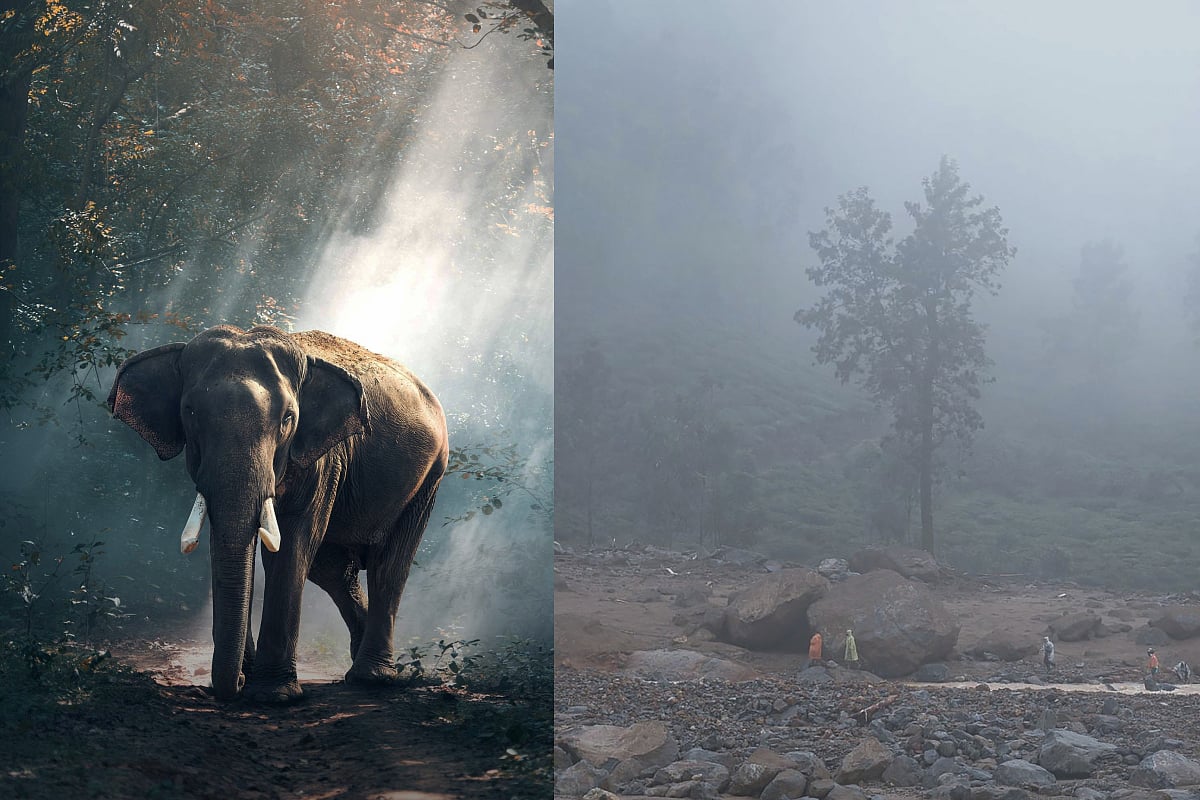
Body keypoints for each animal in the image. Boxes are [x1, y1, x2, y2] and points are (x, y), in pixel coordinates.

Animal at [107, 325, 448, 703]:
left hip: (429, 478)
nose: (237, 683)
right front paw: (250, 677)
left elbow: (292, 545)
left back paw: (371, 678)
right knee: (333, 569)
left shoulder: (323, 459)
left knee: (388, 565)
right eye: (190, 412)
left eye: (288, 419)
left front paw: (273, 695)